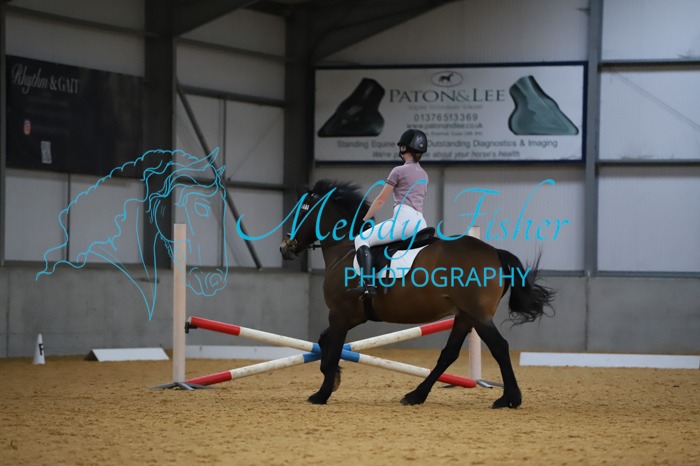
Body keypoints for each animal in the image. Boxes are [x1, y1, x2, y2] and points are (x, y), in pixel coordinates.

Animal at [279, 180, 554, 408]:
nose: (285, 247)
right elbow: (324, 341)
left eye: (302, 211)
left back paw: (509, 398)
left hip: (477, 315)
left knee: (499, 347)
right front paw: (333, 378)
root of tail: (494, 252)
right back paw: (416, 395)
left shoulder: (340, 313)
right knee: (448, 354)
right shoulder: (352, 316)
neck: (343, 251)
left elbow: (334, 348)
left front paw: (322, 393)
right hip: (465, 316)